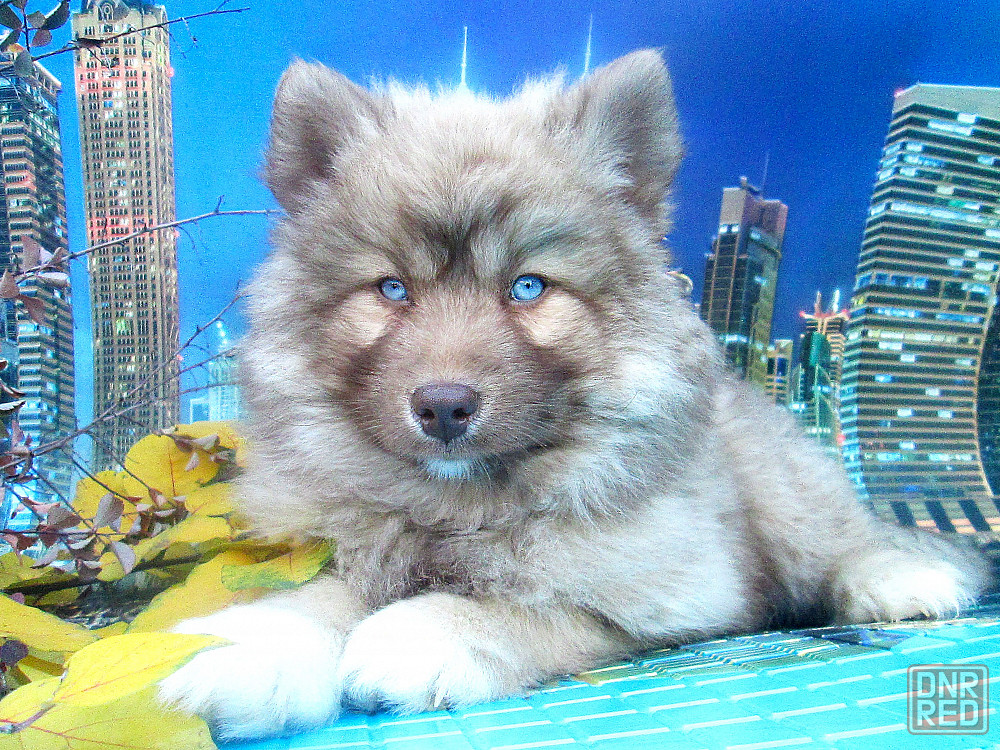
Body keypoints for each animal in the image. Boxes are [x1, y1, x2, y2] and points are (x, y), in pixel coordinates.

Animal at [158, 50, 990, 740]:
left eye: (528, 288)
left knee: (847, 539)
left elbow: (529, 605)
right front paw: (250, 647)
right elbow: (321, 594)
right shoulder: (351, 544)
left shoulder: (670, 594)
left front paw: (424, 633)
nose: (444, 406)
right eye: (392, 290)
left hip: (784, 494)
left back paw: (901, 579)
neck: (459, 507)